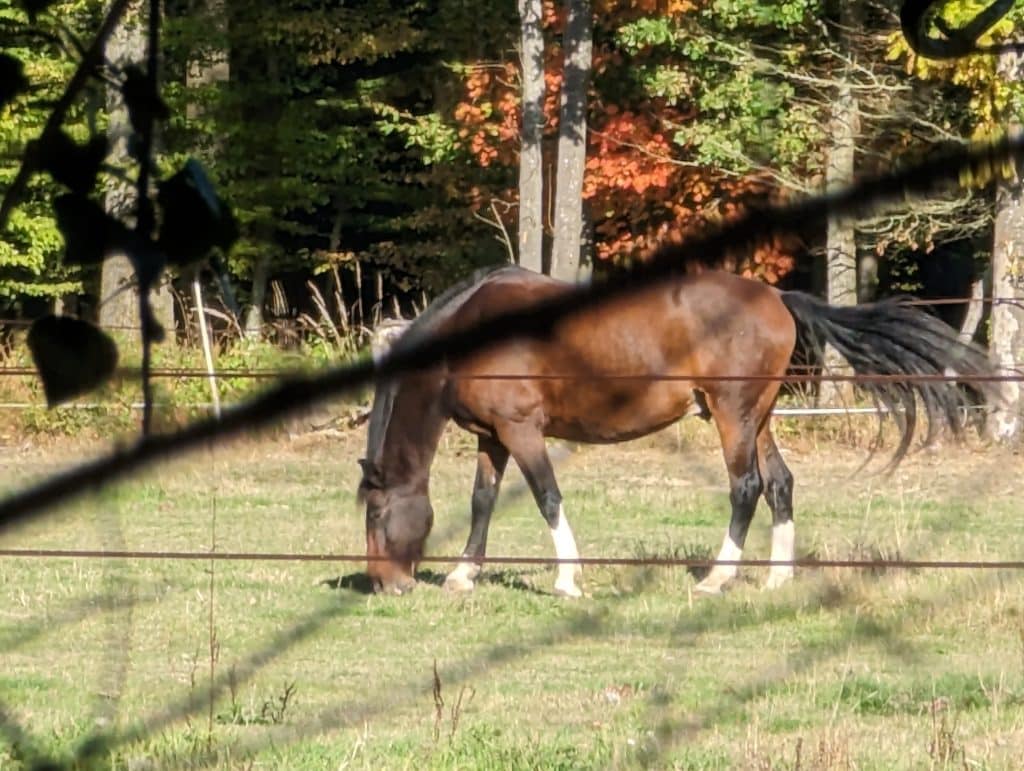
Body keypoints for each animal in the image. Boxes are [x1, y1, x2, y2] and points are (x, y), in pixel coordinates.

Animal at [358, 264, 991, 593]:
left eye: (375, 515)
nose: (387, 585)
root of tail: (776, 295)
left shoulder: (522, 430)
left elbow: (546, 498)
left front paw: (568, 580)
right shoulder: (492, 436)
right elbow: (482, 500)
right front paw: (465, 574)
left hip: (733, 416)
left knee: (747, 488)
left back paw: (717, 578)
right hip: (759, 418)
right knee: (781, 484)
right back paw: (776, 578)